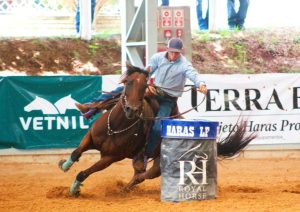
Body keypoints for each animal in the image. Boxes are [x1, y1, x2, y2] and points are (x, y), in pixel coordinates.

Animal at [58, 64, 255, 197]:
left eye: (144, 86)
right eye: (128, 82)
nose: (131, 109)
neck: (116, 127)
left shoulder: (110, 158)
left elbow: (84, 172)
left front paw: (74, 189)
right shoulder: (90, 137)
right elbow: (76, 152)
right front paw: (65, 165)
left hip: (161, 164)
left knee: (142, 176)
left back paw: (123, 190)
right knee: (138, 173)